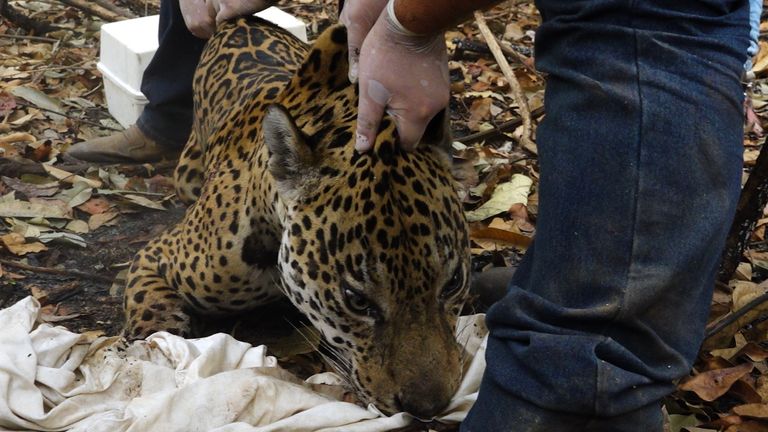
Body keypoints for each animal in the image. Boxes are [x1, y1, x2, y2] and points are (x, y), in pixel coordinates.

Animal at [123, 16, 471, 418]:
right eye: (356, 300)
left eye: (454, 282)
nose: (428, 407)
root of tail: (241, 20)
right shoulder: (159, 254)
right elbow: (148, 307)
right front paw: (156, 349)